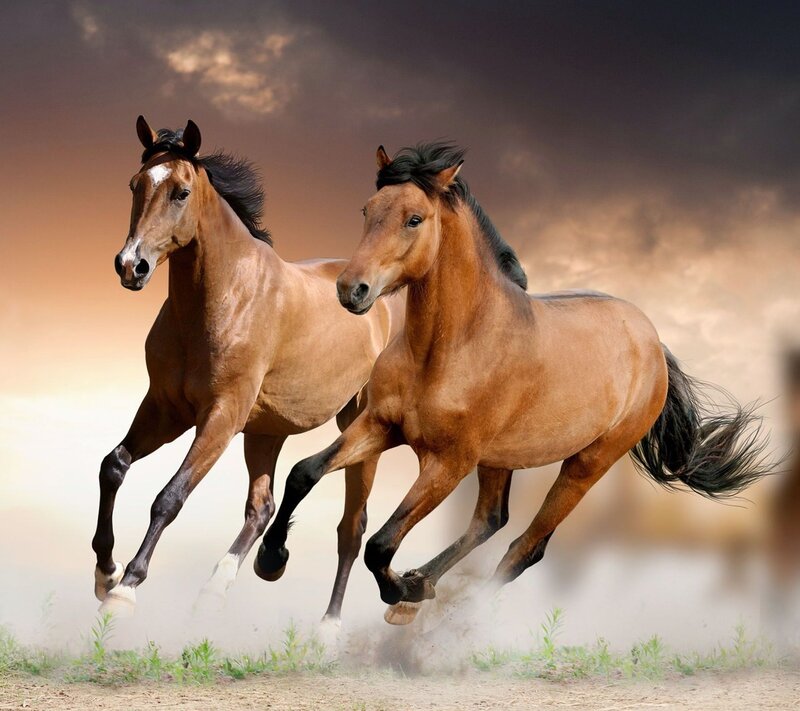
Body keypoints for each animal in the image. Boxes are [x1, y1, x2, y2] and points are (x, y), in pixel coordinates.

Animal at [92, 117, 401, 622]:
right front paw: (105, 571)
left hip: (358, 427)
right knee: (262, 507)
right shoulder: (165, 409)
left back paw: (328, 626)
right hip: (265, 432)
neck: (223, 298)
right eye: (135, 185)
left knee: (351, 529)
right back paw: (224, 584)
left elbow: (169, 497)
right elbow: (113, 466)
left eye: (180, 191)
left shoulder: (220, 417)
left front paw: (127, 588)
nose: (130, 265)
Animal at [254, 142, 771, 625]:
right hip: (500, 459)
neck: (448, 348)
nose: (351, 290)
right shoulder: (381, 425)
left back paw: (439, 613)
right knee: (491, 520)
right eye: (367, 210)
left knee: (526, 547)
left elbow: (381, 544)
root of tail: (653, 342)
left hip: (586, 464)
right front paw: (271, 560)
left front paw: (401, 589)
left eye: (414, 219)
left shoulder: (448, 463)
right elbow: (304, 472)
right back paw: (422, 586)